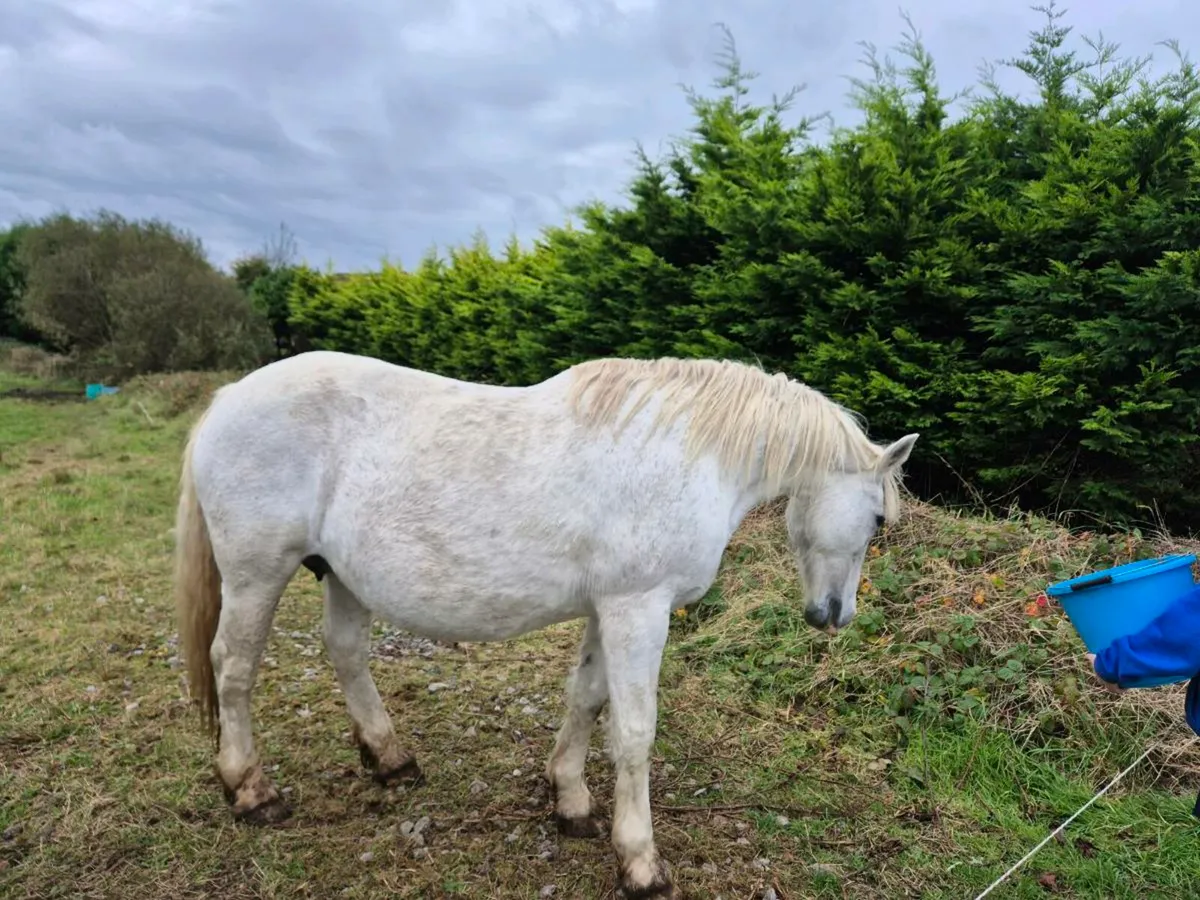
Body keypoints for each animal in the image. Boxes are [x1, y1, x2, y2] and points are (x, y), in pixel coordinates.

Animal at [173, 349, 918, 899]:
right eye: (879, 519)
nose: (834, 615)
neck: (685, 454)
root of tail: (228, 400)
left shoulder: (608, 608)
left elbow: (585, 699)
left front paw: (571, 801)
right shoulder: (638, 608)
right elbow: (634, 732)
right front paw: (640, 863)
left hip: (341, 575)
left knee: (346, 653)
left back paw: (390, 759)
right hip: (257, 575)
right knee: (234, 667)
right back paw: (251, 791)